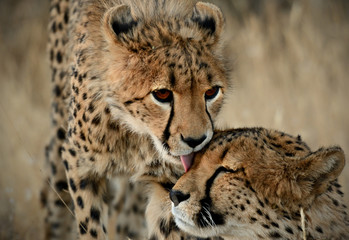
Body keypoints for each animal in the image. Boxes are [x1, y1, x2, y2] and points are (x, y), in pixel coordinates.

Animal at [41, 0, 231, 239]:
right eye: (162, 94)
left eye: (211, 92)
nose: (196, 140)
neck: (136, 132)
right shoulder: (80, 165)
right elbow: (90, 224)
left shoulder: (169, 181)